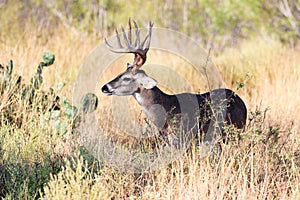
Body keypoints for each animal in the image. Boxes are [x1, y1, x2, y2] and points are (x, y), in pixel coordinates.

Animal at [101, 19, 246, 148]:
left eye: (126, 78)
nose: (104, 87)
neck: (165, 110)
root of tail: (242, 102)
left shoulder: (184, 137)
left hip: (235, 131)